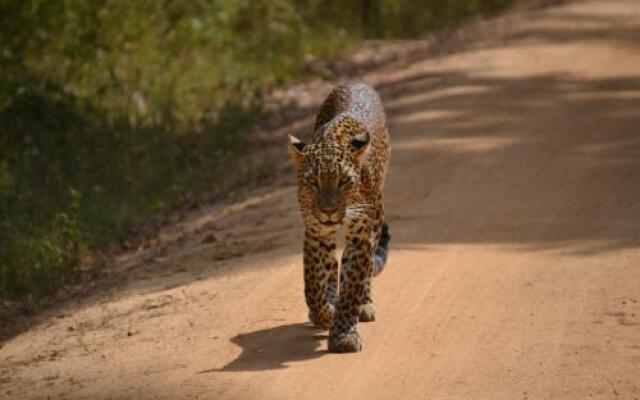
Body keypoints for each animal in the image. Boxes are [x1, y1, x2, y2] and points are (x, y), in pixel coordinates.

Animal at [288, 82, 390, 354]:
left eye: (343, 181)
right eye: (313, 182)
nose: (328, 210)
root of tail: (356, 83)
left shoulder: (361, 234)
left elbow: (352, 284)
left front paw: (343, 335)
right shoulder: (315, 233)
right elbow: (313, 285)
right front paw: (324, 314)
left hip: (377, 218)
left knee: (365, 269)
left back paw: (364, 304)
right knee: (332, 265)